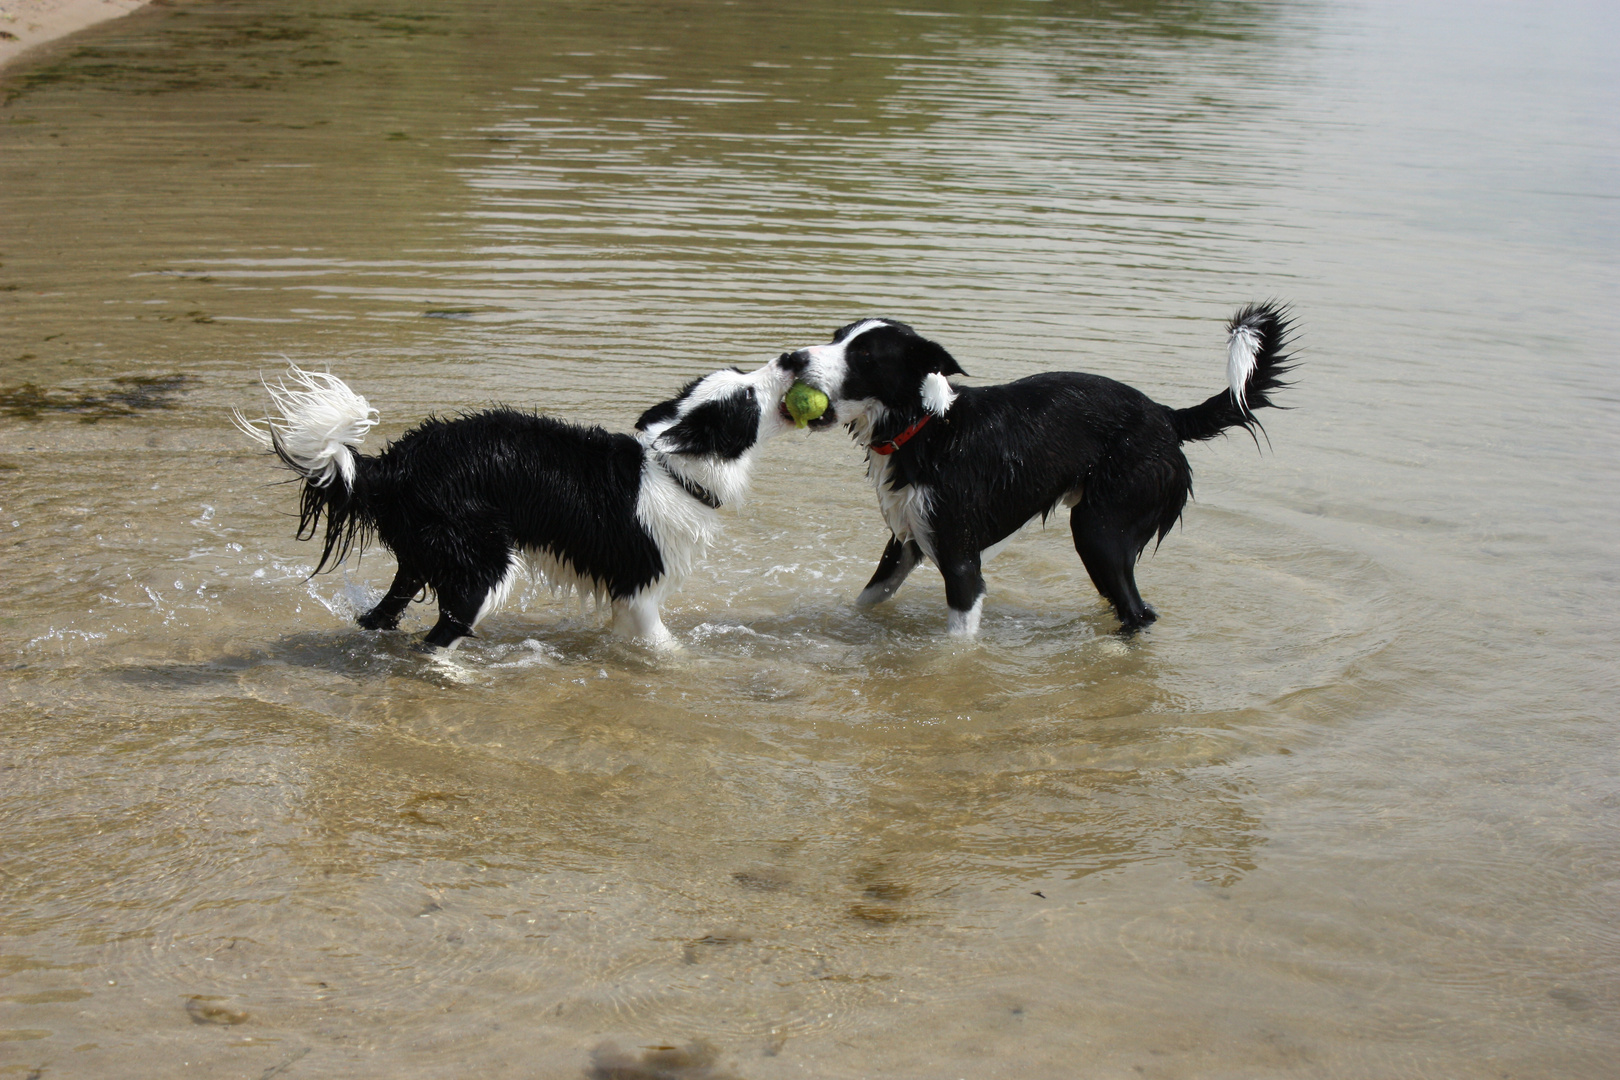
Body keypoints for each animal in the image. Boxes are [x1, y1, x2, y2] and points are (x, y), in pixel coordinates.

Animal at [236, 362, 800, 650]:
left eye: (743, 376)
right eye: (749, 396)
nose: (789, 361)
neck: (674, 468)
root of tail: (394, 464)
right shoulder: (641, 586)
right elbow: (667, 649)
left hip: (421, 556)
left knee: (384, 615)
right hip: (485, 563)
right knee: (441, 636)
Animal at [777, 304, 1296, 637]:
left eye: (864, 355)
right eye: (835, 338)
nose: (792, 358)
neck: (925, 427)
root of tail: (1166, 416)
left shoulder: (961, 560)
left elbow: (957, 648)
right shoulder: (905, 540)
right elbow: (867, 599)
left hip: (1100, 529)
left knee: (1139, 612)